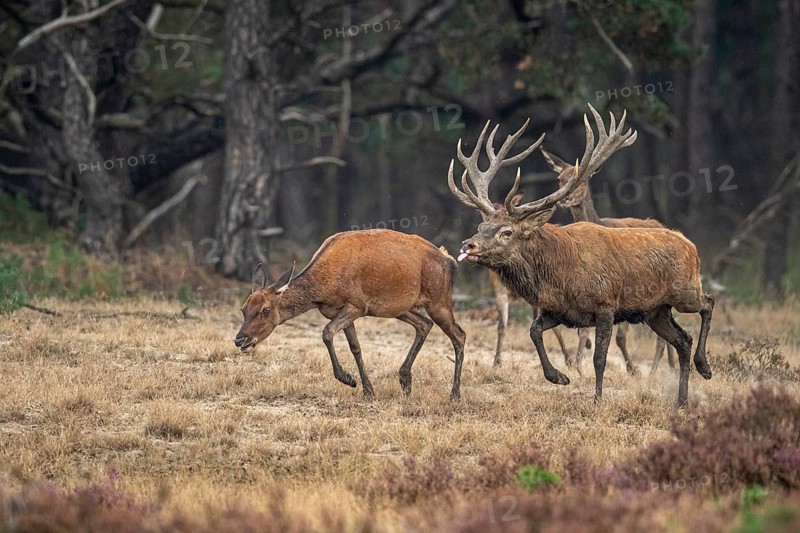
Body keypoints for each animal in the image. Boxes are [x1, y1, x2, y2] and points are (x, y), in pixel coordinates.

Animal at [234, 229, 466, 399]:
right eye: (243, 309)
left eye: (266, 309)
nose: (240, 339)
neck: (324, 289)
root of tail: (449, 260)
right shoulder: (340, 311)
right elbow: (355, 346)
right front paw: (368, 390)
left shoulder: (357, 305)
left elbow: (327, 333)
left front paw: (348, 379)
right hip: (399, 308)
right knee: (424, 324)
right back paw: (405, 381)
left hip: (439, 300)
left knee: (459, 334)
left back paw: (454, 394)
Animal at [539, 148, 677, 376]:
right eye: (560, 179)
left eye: (584, 179)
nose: (565, 198)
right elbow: (584, 330)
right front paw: (577, 365)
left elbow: (619, 337)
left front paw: (633, 369)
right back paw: (670, 367)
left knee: (660, 335)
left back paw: (656, 370)